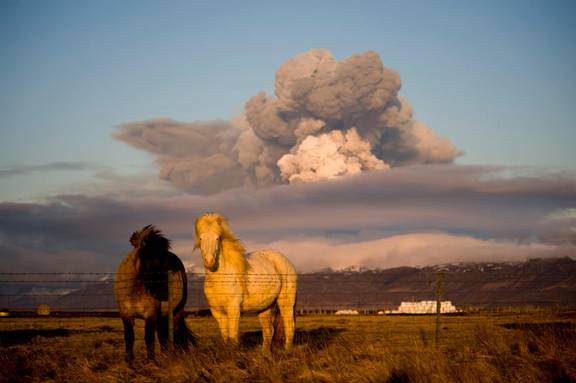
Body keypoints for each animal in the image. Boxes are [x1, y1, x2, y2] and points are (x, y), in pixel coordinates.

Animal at [116, 225, 195, 364]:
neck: (134, 291)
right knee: (162, 334)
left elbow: (149, 337)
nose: (157, 290)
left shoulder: (150, 314)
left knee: (176, 331)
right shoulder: (125, 314)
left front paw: (151, 361)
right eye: (142, 254)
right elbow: (129, 336)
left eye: (163, 260)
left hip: (177, 311)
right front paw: (129, 360)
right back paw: (165, 354)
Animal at [196, 213, 300, 354]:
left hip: (286, 302)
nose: (209, 261)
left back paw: (287, 351)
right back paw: (265, 354)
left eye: (217, 238)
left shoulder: (233, 309)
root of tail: (286, 261)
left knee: (289, 326)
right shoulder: (217, 312)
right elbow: (225, 336)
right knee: (269, 331)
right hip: (264, 307)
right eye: (201, 238)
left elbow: (232, 336)